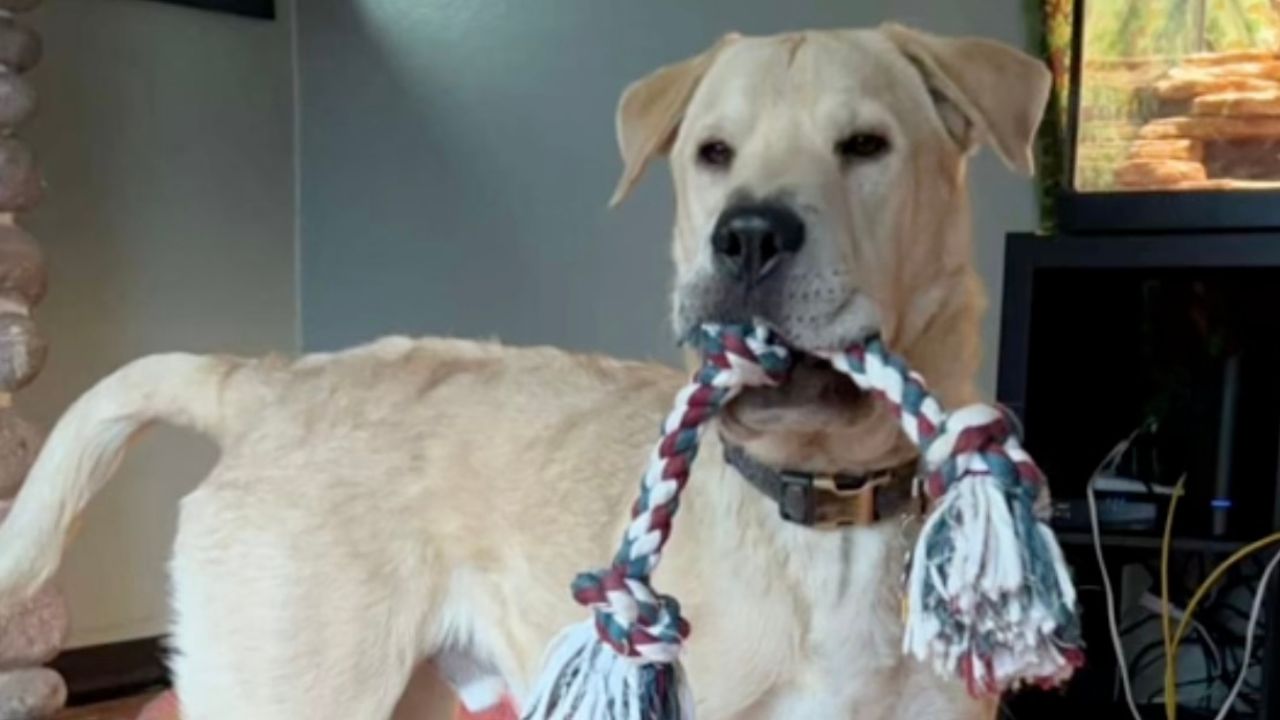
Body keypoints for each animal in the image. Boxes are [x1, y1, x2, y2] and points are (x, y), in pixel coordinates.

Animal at [0, 22, 1049, 717]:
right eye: (712, 153)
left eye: (867, 146)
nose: (747, 235)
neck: (824, 506)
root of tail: (265, 379)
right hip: (296, 686)